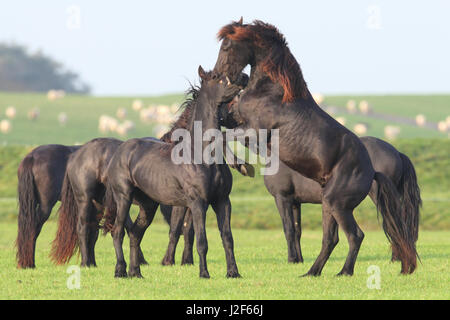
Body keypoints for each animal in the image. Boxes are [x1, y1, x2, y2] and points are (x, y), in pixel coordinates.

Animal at [103, 67, 243, 278]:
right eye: (216, 78)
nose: (243, 79)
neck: (202, 154)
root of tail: (120, 151)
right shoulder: (197, 202)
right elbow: (201, 241)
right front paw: (204, 274)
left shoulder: (223, 201)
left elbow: (228, 238)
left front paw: (233, 273)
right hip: (123, 199)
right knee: (118, 231)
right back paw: (120, 270)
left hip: (148, 206)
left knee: (135, 233)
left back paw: (135, 273)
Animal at [264, 136, 422, 264]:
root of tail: (397, 152)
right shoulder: (295, 203)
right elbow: (297, 230)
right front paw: (299, 260)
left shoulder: (282, 198)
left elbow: (288, 229)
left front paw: (291, 259)